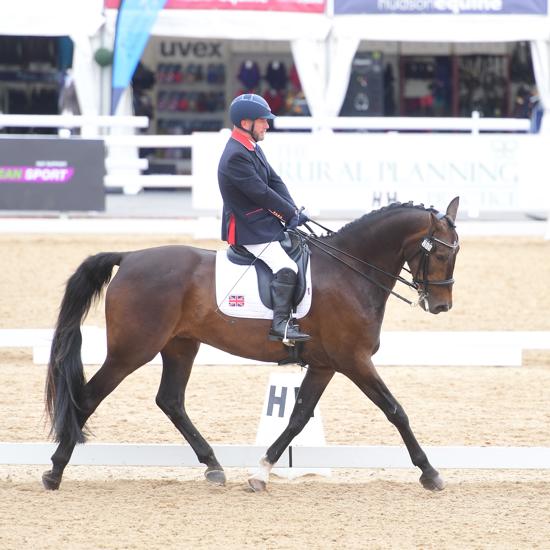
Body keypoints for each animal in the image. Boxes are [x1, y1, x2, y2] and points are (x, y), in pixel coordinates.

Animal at [44, 198, 462, 496]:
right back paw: (55, 470)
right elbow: (395, 410)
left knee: (171, 400)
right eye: (441, 254)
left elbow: (298, 417)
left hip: (180, 346)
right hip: (131, 351)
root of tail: (129, 257)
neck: (350, 271)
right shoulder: (353, 360)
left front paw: (261, 472)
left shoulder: (326, 364)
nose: (441, 306)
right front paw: (430, 472)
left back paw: (213, 465)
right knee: (88, 397)